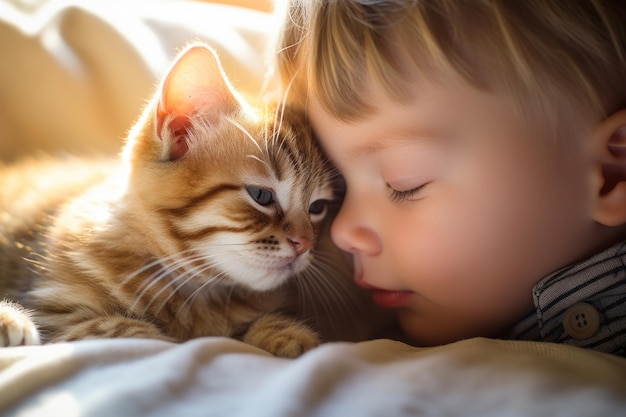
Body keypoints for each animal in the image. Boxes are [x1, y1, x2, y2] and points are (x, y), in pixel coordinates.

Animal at [1, 43, 390, 358]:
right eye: (261, 195)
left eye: (317, 207)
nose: (304, 244)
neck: (197, 293)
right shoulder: (57, 307)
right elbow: (125, 332)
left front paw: (283, 333)